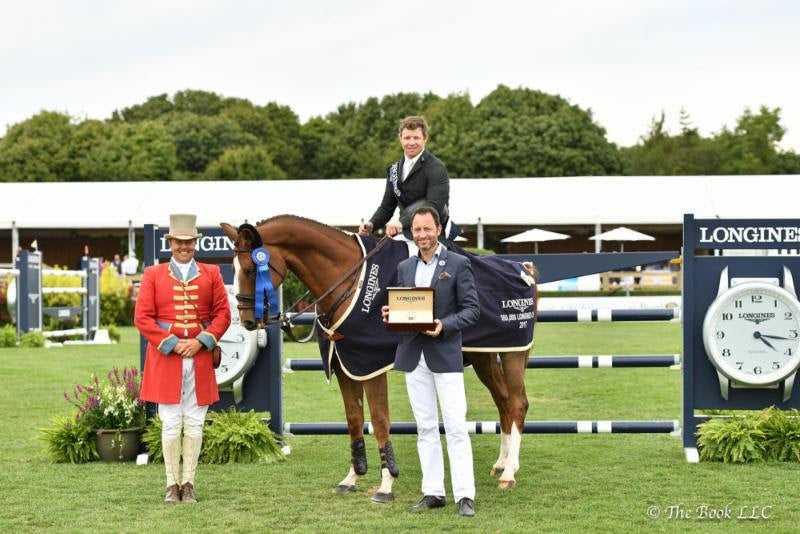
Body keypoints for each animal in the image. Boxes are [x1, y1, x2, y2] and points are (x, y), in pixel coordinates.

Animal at [220, 216, 532, 500]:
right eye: (233, 268)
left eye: (251, 268)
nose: (247, 321)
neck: (350, 280)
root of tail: (524, 269)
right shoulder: (345, 366)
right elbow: (354, 419)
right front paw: (352, 477)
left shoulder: (370, 366)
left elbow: (380, 421)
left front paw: (386, 483)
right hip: (484, 357)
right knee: (503, 401)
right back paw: (502, 463)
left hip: (513, 355)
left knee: (517, 403)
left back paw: (509, 473)